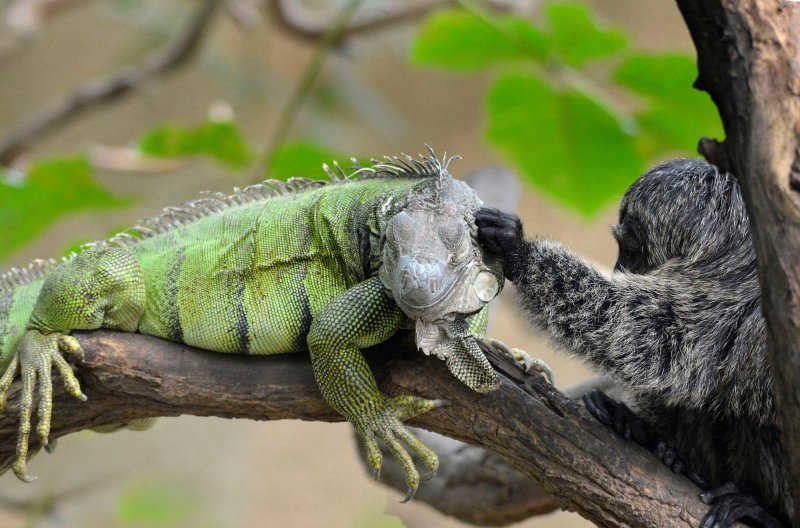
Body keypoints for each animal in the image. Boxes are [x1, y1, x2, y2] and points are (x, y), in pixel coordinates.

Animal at [476, 160, 788, 528]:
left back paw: (761, 511)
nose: (618, 268)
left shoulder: (741, 299)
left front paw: (518, 251)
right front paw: (644, 432)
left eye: (632, 250)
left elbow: (655, 343)